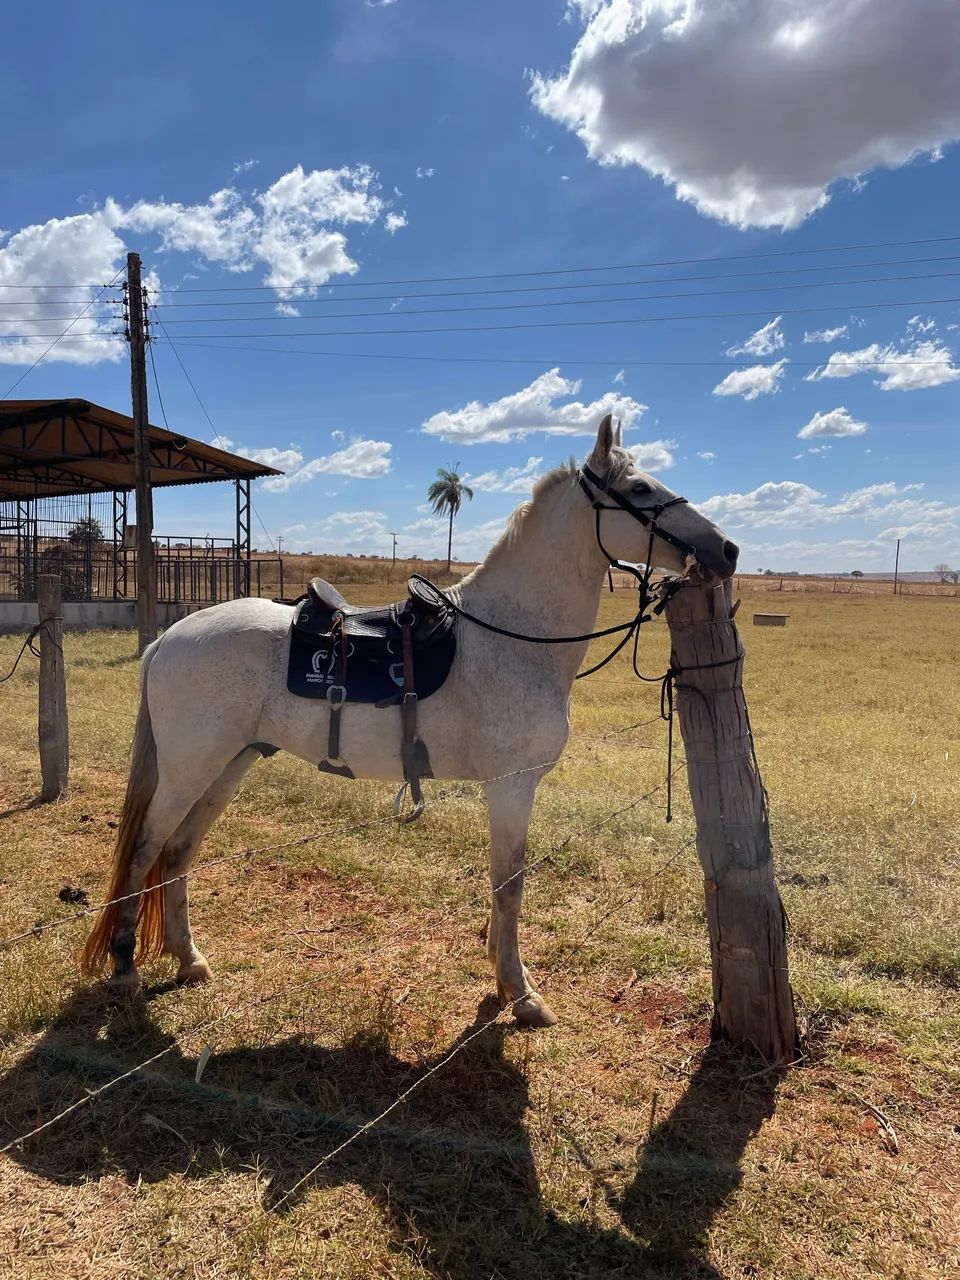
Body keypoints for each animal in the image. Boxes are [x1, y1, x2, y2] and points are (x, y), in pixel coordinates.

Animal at [81, 414, 738, 1027]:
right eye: (641, 489)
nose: (726, 550)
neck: (511, 637)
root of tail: (167, 639)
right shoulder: (511, 787)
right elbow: (511, 885)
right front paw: (520, 993)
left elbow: (503, 886)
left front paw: (502, 977)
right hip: (190, 771)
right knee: (144, 850)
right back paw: (125, 968)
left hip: (228, 767)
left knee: (177, 854)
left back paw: (188, 960)